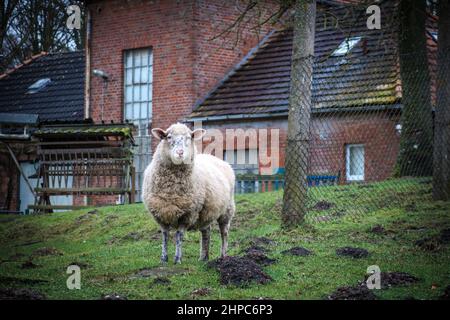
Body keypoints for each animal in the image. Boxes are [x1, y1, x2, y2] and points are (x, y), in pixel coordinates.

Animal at [143, 122, 236, 262]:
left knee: (224, 232)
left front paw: (177, 259)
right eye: (168, 137)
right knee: (206, 231)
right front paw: (164, 258)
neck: (171, 190)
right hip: (206, 212)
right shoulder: (160, 213)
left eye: (189, 137)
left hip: (227, 209)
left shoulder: (187, 213)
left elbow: (179, 235)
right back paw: (203, 257)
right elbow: (165, 235)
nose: (180, 153)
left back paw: (223, 256)